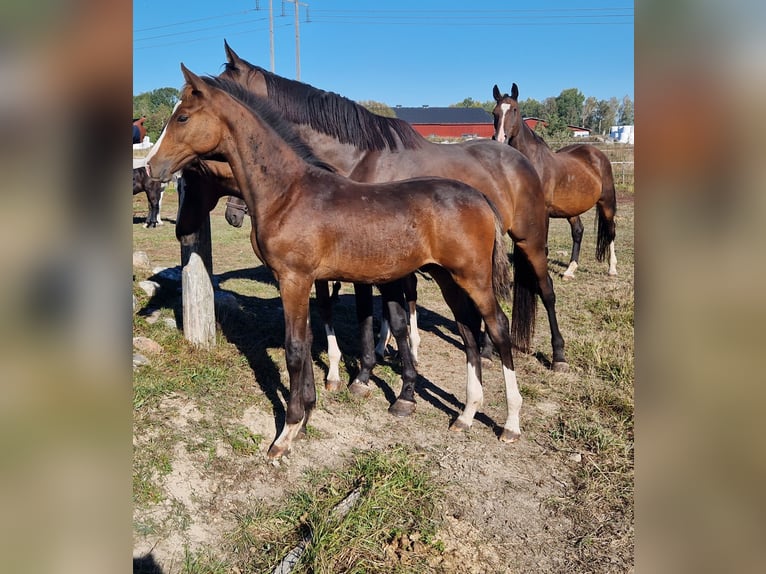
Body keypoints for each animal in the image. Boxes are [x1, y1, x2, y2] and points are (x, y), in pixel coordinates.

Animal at [147, 67, 524, 462]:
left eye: (182, 117)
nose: (151, 166)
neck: (287, 193)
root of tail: (480, 197)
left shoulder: (294, 279)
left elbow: (295, 350)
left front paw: (287, 432)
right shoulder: (303, 280)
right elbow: (310, 337)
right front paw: (308, 413)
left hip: (474, 277)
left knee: (497, 328)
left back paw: (510, 424)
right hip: (448, 277)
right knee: (467, 330)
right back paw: (466, 415)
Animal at [219, 40, 568, 376]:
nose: (232, 215)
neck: (362, 157)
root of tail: (520, 159)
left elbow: (372, 313)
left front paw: (368, 369)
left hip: (530, 240)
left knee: (546, 289)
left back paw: (558, 355)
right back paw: (485, 349)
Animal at [496, 84, 620, 282]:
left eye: (514, 110)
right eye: (495, 112)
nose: (500, 140)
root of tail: (598, 154)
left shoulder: (543, 212)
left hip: (606, 203)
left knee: (611, 230)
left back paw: (612, 268)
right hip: (572, 208)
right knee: (578, 231)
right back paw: (570, 270)